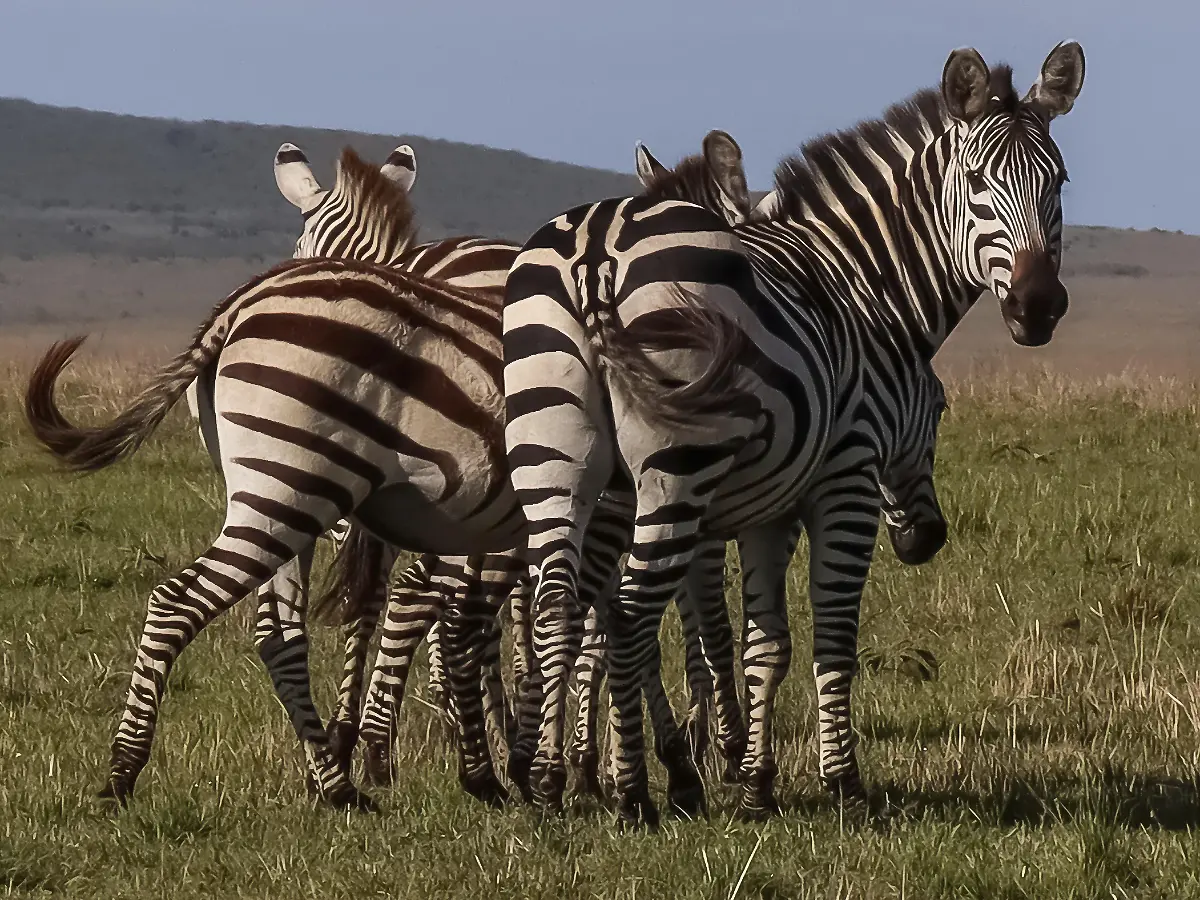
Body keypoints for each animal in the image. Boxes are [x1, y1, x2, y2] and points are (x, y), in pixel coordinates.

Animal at [501, 42, 1084, 825]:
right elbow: (828, 639)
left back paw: (549, 781)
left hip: (560, 462)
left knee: (560, 605)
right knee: (627, 613)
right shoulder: (846, 482)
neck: (865, 282)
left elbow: (761, 643)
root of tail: (595, 247)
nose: (1037, 305)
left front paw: (755, 783)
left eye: (1060, 181)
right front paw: (841, 785)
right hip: (677, 468)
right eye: (974, 182)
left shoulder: (763, 508)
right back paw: (638, 794)